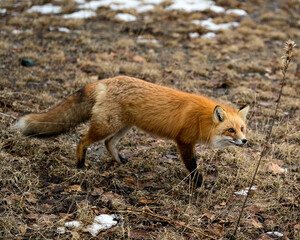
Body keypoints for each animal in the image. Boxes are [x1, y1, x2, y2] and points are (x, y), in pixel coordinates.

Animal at [15, 77, 250, 188]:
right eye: (230, 130)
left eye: (242, 129)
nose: (245, 141)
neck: (202, 119)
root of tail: (104, 81)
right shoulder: (183, 141)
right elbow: (192, 166)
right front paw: (198, 183)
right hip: (106, 126)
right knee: (82, 141)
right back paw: (80, 164)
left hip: (124, 127)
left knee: (108, 144)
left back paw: (119, 161)